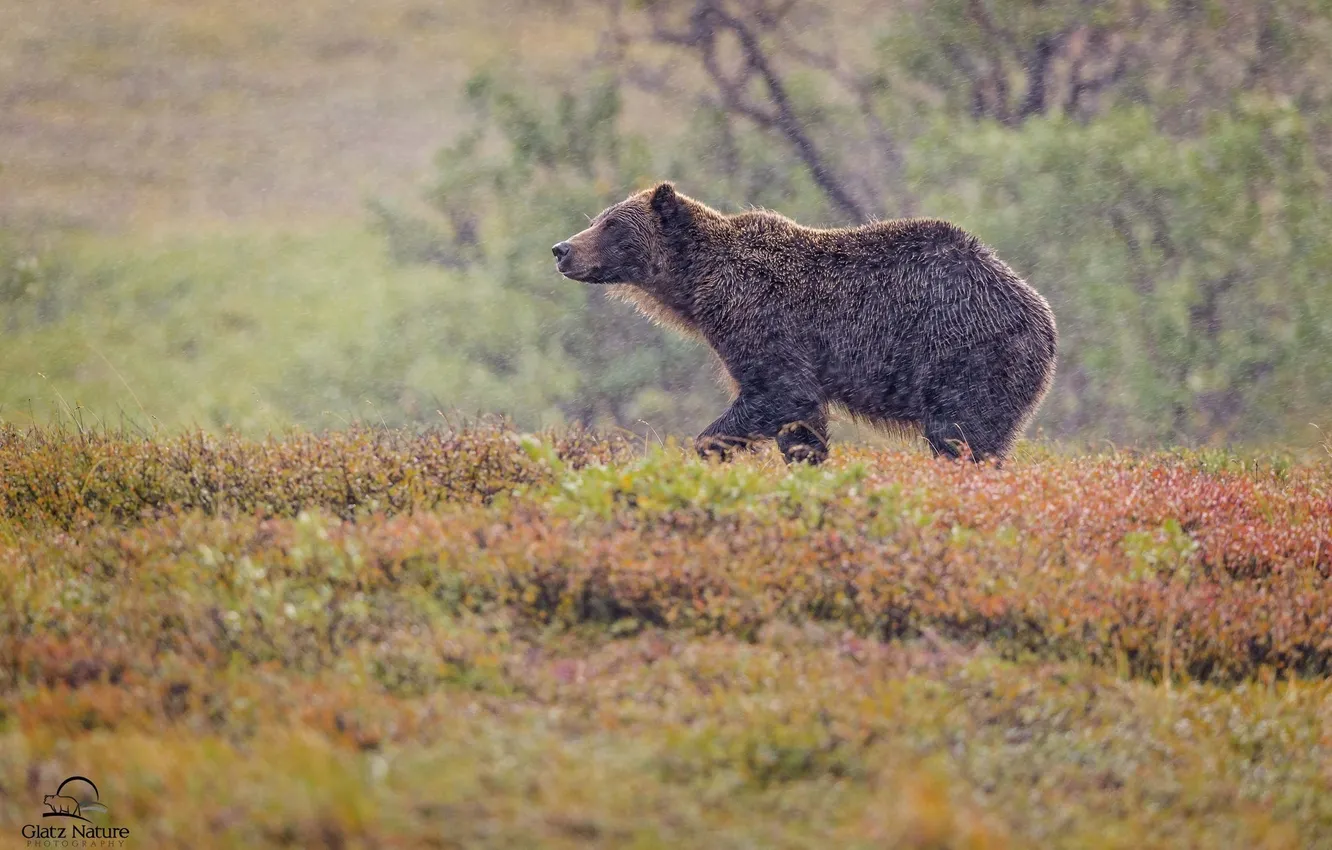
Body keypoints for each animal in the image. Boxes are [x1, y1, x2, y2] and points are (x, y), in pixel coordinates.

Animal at [548, 183, 1049, 466]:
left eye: (612, 224)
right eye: (597, 219)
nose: (561, 249)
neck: (698, 287)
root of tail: (1042, 314)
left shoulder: (762, 320)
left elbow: (780, 392)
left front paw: (709, 447)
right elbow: (802, 424)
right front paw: (807, 462)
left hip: (968, 356)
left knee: (962, 435)